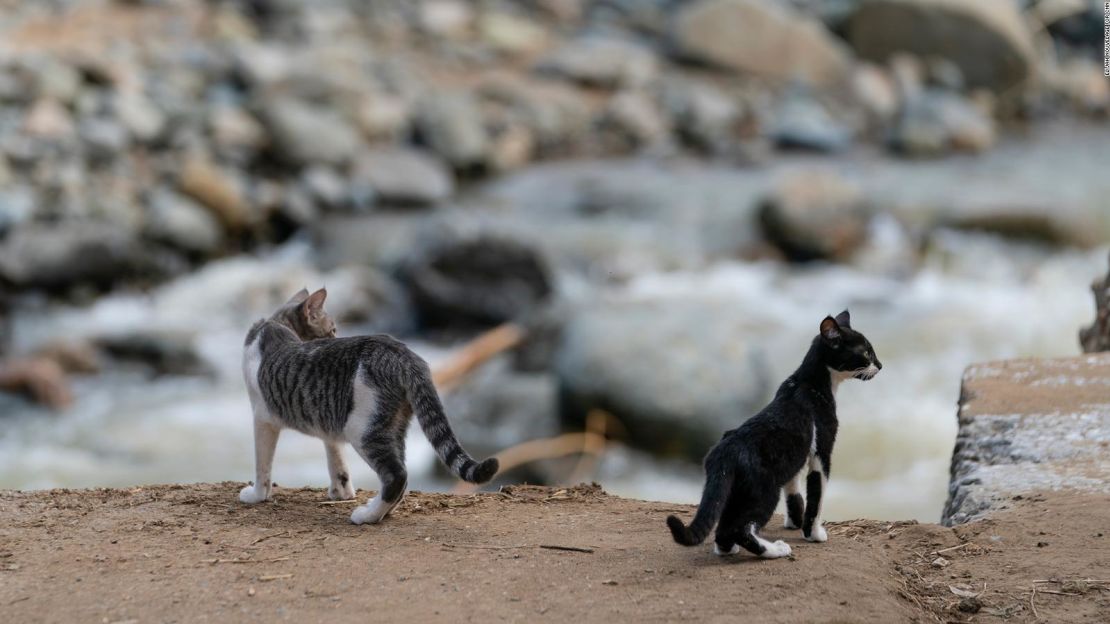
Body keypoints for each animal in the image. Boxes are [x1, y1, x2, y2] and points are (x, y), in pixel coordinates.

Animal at [239, 288, 499, 521]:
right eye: (332, 329)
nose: (337, 337)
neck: (275, 323)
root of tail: (404, 354)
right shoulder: (327, 418)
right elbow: (337, 461)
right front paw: (341, 492)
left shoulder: (262, 418)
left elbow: (262, 465)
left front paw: (256, 495)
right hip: (390, 425)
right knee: (400, 475)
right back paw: (382, 511)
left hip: (363, 429)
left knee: (396, 475)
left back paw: (368, 516)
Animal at [661, 310, 879, 559]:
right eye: (866, 352)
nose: (880, 365)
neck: (809, 383)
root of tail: (723, 453)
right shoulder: (821, 451)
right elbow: (817, 495)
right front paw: (814, 533)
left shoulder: (793, 457)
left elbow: (793, 490)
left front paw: (795, 522)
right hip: (763, 490)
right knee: (739, 528)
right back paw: (776, 549)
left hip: (737, 491)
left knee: (725, 527)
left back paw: (729, 549)